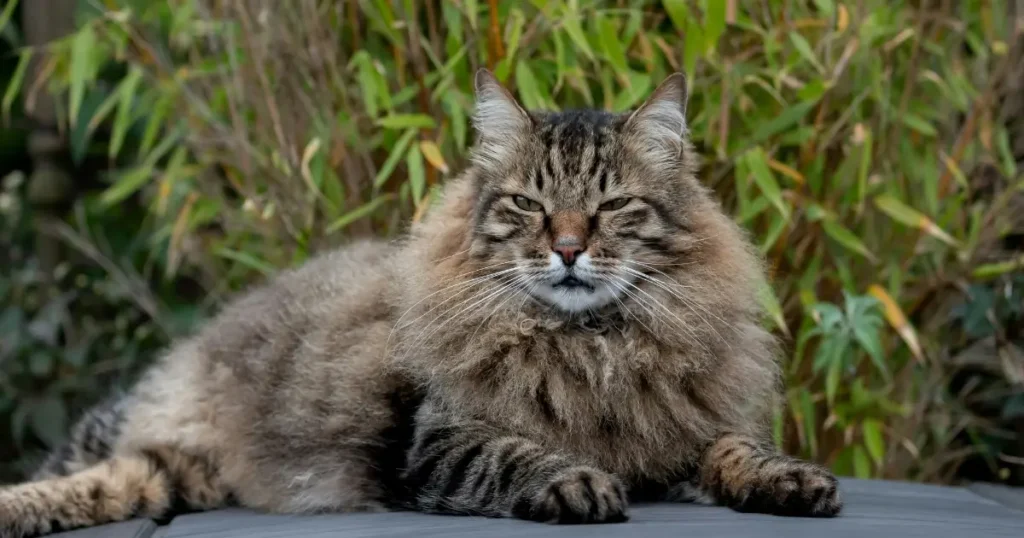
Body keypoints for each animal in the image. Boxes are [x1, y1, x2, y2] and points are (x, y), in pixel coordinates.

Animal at [0, 72, 839, 536]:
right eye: (530, 206)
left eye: (610, 208)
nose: (569, 249)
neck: (589, 347)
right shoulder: (433, 443)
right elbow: (516, 454)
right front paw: (576, 484)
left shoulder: (678, 432)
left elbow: (736, 449)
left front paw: (792, 482)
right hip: (131, 433)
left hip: (169, 477)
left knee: (105, 487)